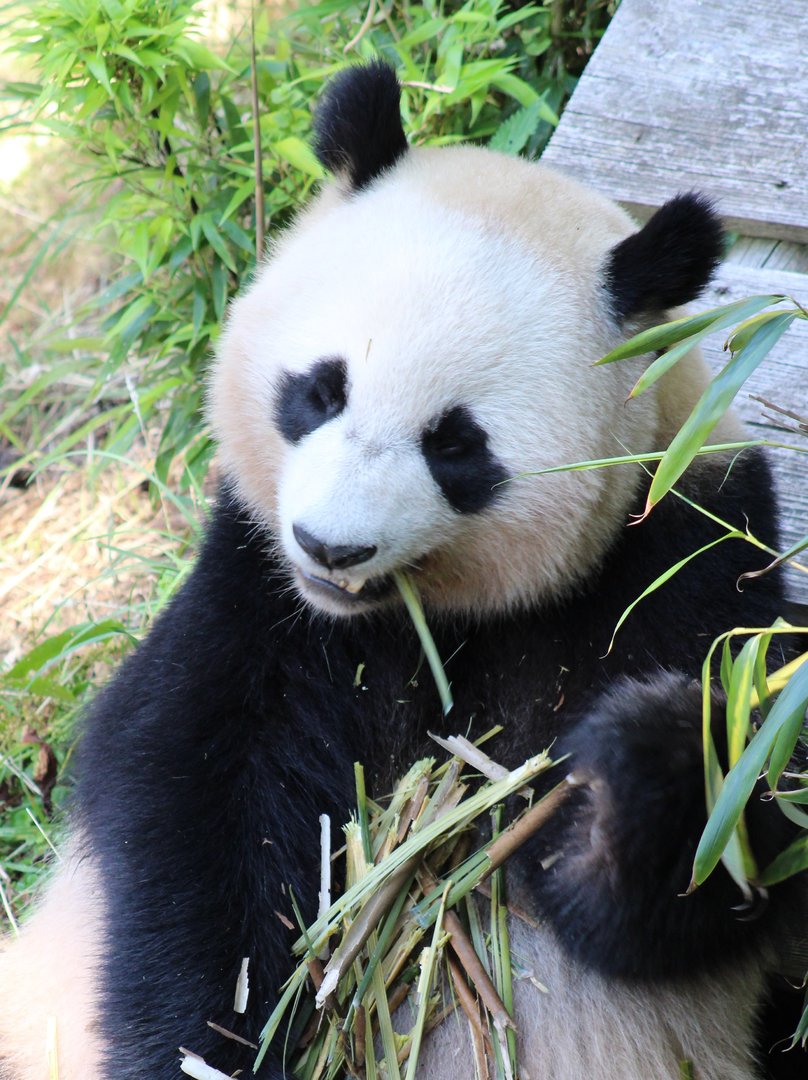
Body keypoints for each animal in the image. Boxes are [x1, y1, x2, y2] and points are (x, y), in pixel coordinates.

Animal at [0, 61, 804, 1080]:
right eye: (320, 389)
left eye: (456, 445)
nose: (329, 549)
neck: (420, 614)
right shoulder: (255, 593)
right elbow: (188, 803)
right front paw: (207, 1038)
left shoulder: (681, 551)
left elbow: (712, 863)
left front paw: (651, 761)